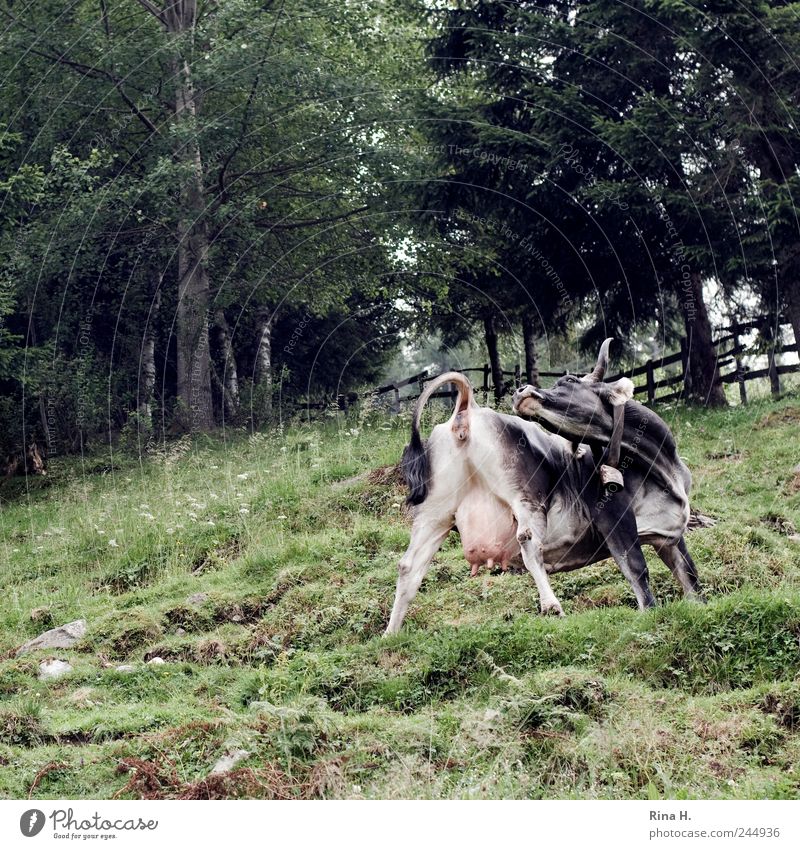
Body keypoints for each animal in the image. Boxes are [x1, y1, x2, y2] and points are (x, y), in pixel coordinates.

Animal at [384, 342, 704, 632]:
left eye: (571, 381)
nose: (521, 391)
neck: (663, 465)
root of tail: (469, 408)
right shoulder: (614, 516)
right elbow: (637, 569)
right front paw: (650, 613)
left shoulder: (669, 533)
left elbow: (689, 575)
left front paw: (696, 606)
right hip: (524, 495)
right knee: (527, 540)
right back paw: (551, 605)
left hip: (436, 512)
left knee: (409, 566)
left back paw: (391, 634)